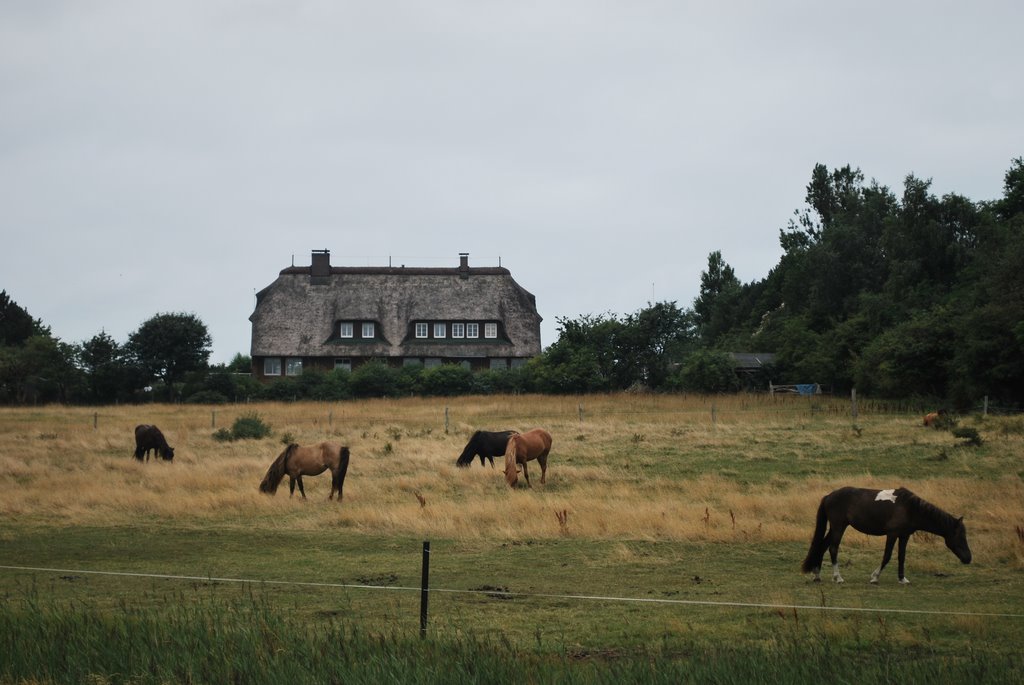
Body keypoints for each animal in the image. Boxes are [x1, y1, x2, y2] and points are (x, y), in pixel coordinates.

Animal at [798, 485, 966, 581]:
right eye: (960, 536)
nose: (968, 558)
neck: (909, 508)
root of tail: (828, 496)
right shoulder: (892, 534)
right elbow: (887, 556)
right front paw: (875, 577)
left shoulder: (904, 535)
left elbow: (901, 557)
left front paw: (902, 579)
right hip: (838, 527)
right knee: (833, 549)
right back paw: (838, 577)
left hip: (836, 528)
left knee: (822, 546)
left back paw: (817, 574)